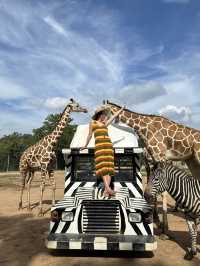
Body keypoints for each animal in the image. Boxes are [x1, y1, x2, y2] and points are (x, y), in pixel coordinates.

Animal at [104, 100, 200, 237]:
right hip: (191, 160)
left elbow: (162, 189)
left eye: (102, 111)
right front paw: (155, 219)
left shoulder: (161, 157)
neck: (145, 127)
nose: (98, 122)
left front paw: (164, 228)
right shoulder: (151, 160)